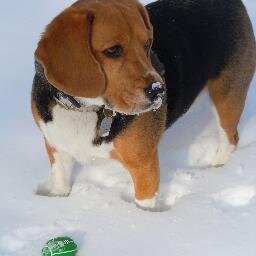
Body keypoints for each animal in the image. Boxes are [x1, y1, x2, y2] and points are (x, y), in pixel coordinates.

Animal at [32, 0, 256, 210]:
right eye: (112, 50)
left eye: (147, 44)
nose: (159, 90)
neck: (84, 109)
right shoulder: (56, 149)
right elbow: (60, 184)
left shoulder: (144, 167)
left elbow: (143, 205)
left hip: (227, 97)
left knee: (230, 138)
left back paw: (218, 167)